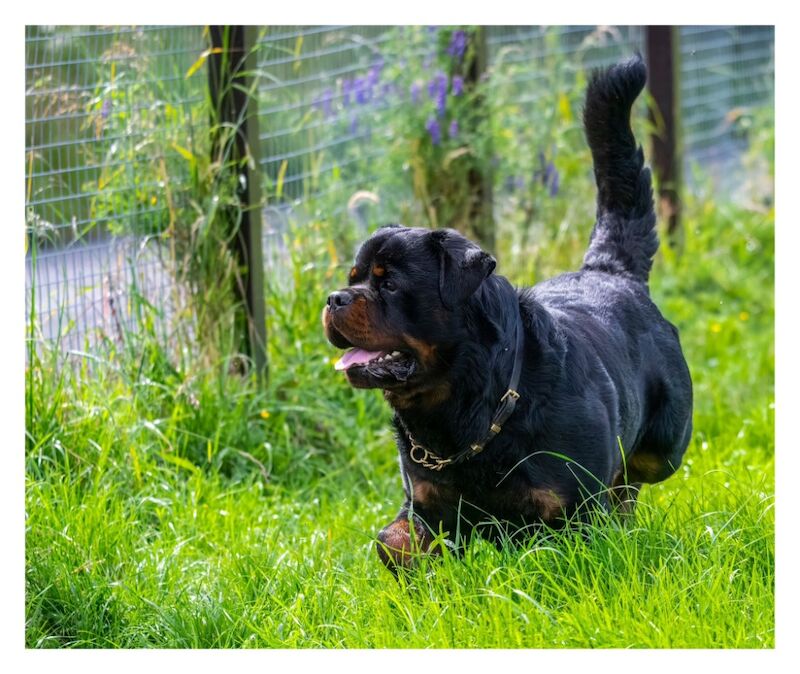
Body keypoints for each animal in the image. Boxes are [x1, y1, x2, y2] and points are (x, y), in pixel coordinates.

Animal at [322, 56, 692, 568]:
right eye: (353, 277)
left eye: (389, 282)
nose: (335, 298)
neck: (462, 406)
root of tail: (610, 269)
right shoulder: (425, 502)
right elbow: (391, 540)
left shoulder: (574, 511)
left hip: (666, 443)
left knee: (635, 476)